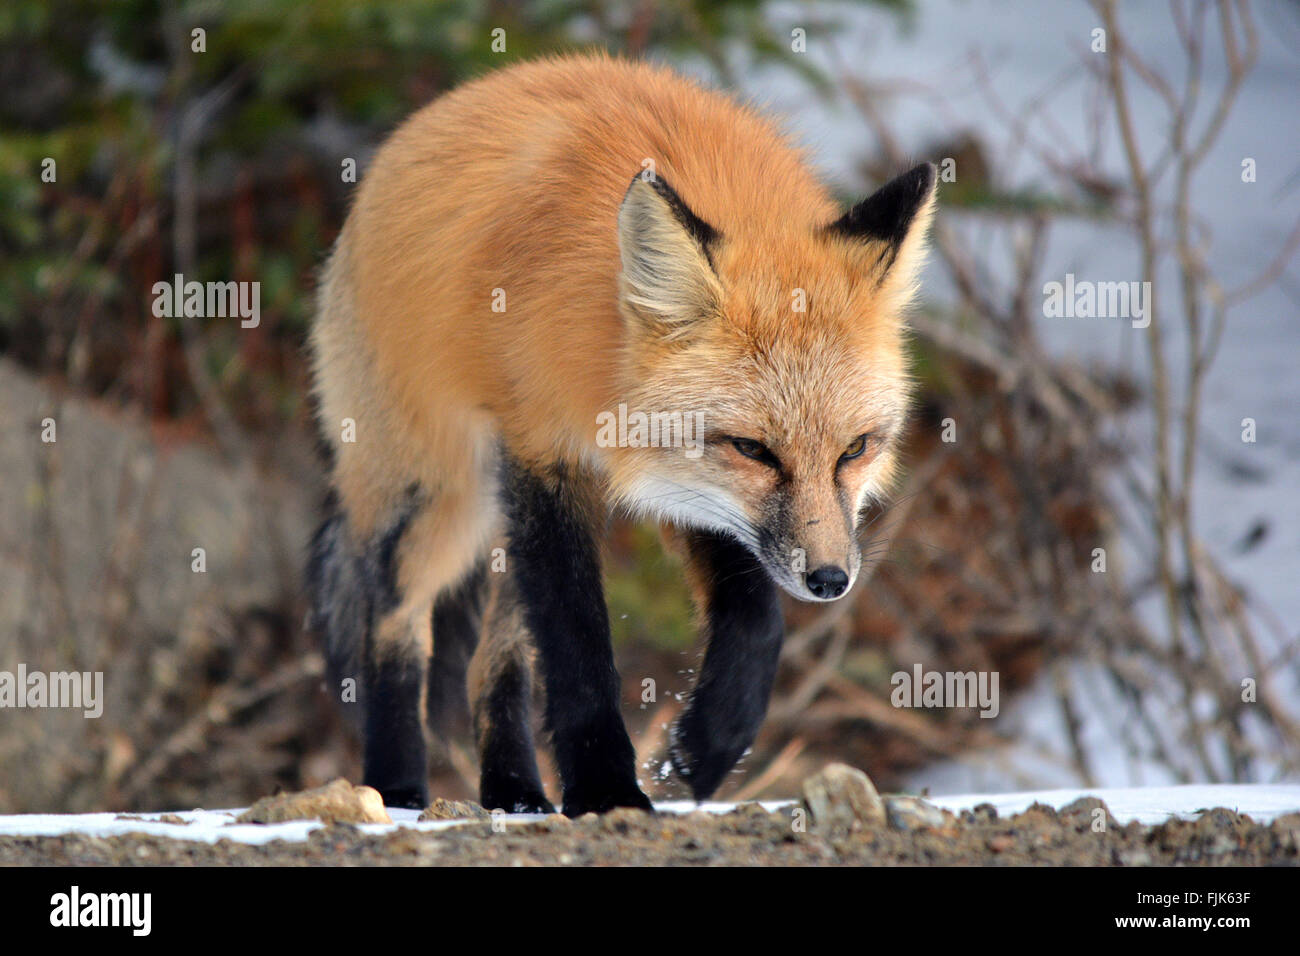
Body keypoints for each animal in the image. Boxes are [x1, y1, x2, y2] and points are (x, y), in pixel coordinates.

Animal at [305, 53, 936, 817]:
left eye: (854, 449)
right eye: (754, 449)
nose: (830, 579)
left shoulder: (688, 490)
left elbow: (756, 623)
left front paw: (703, 749)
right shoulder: (543, 458)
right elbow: (578, 647)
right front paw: (606, 789)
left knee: (491, 661)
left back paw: (512, 790)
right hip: (441, 494)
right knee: (394, 626)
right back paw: (397, 787)